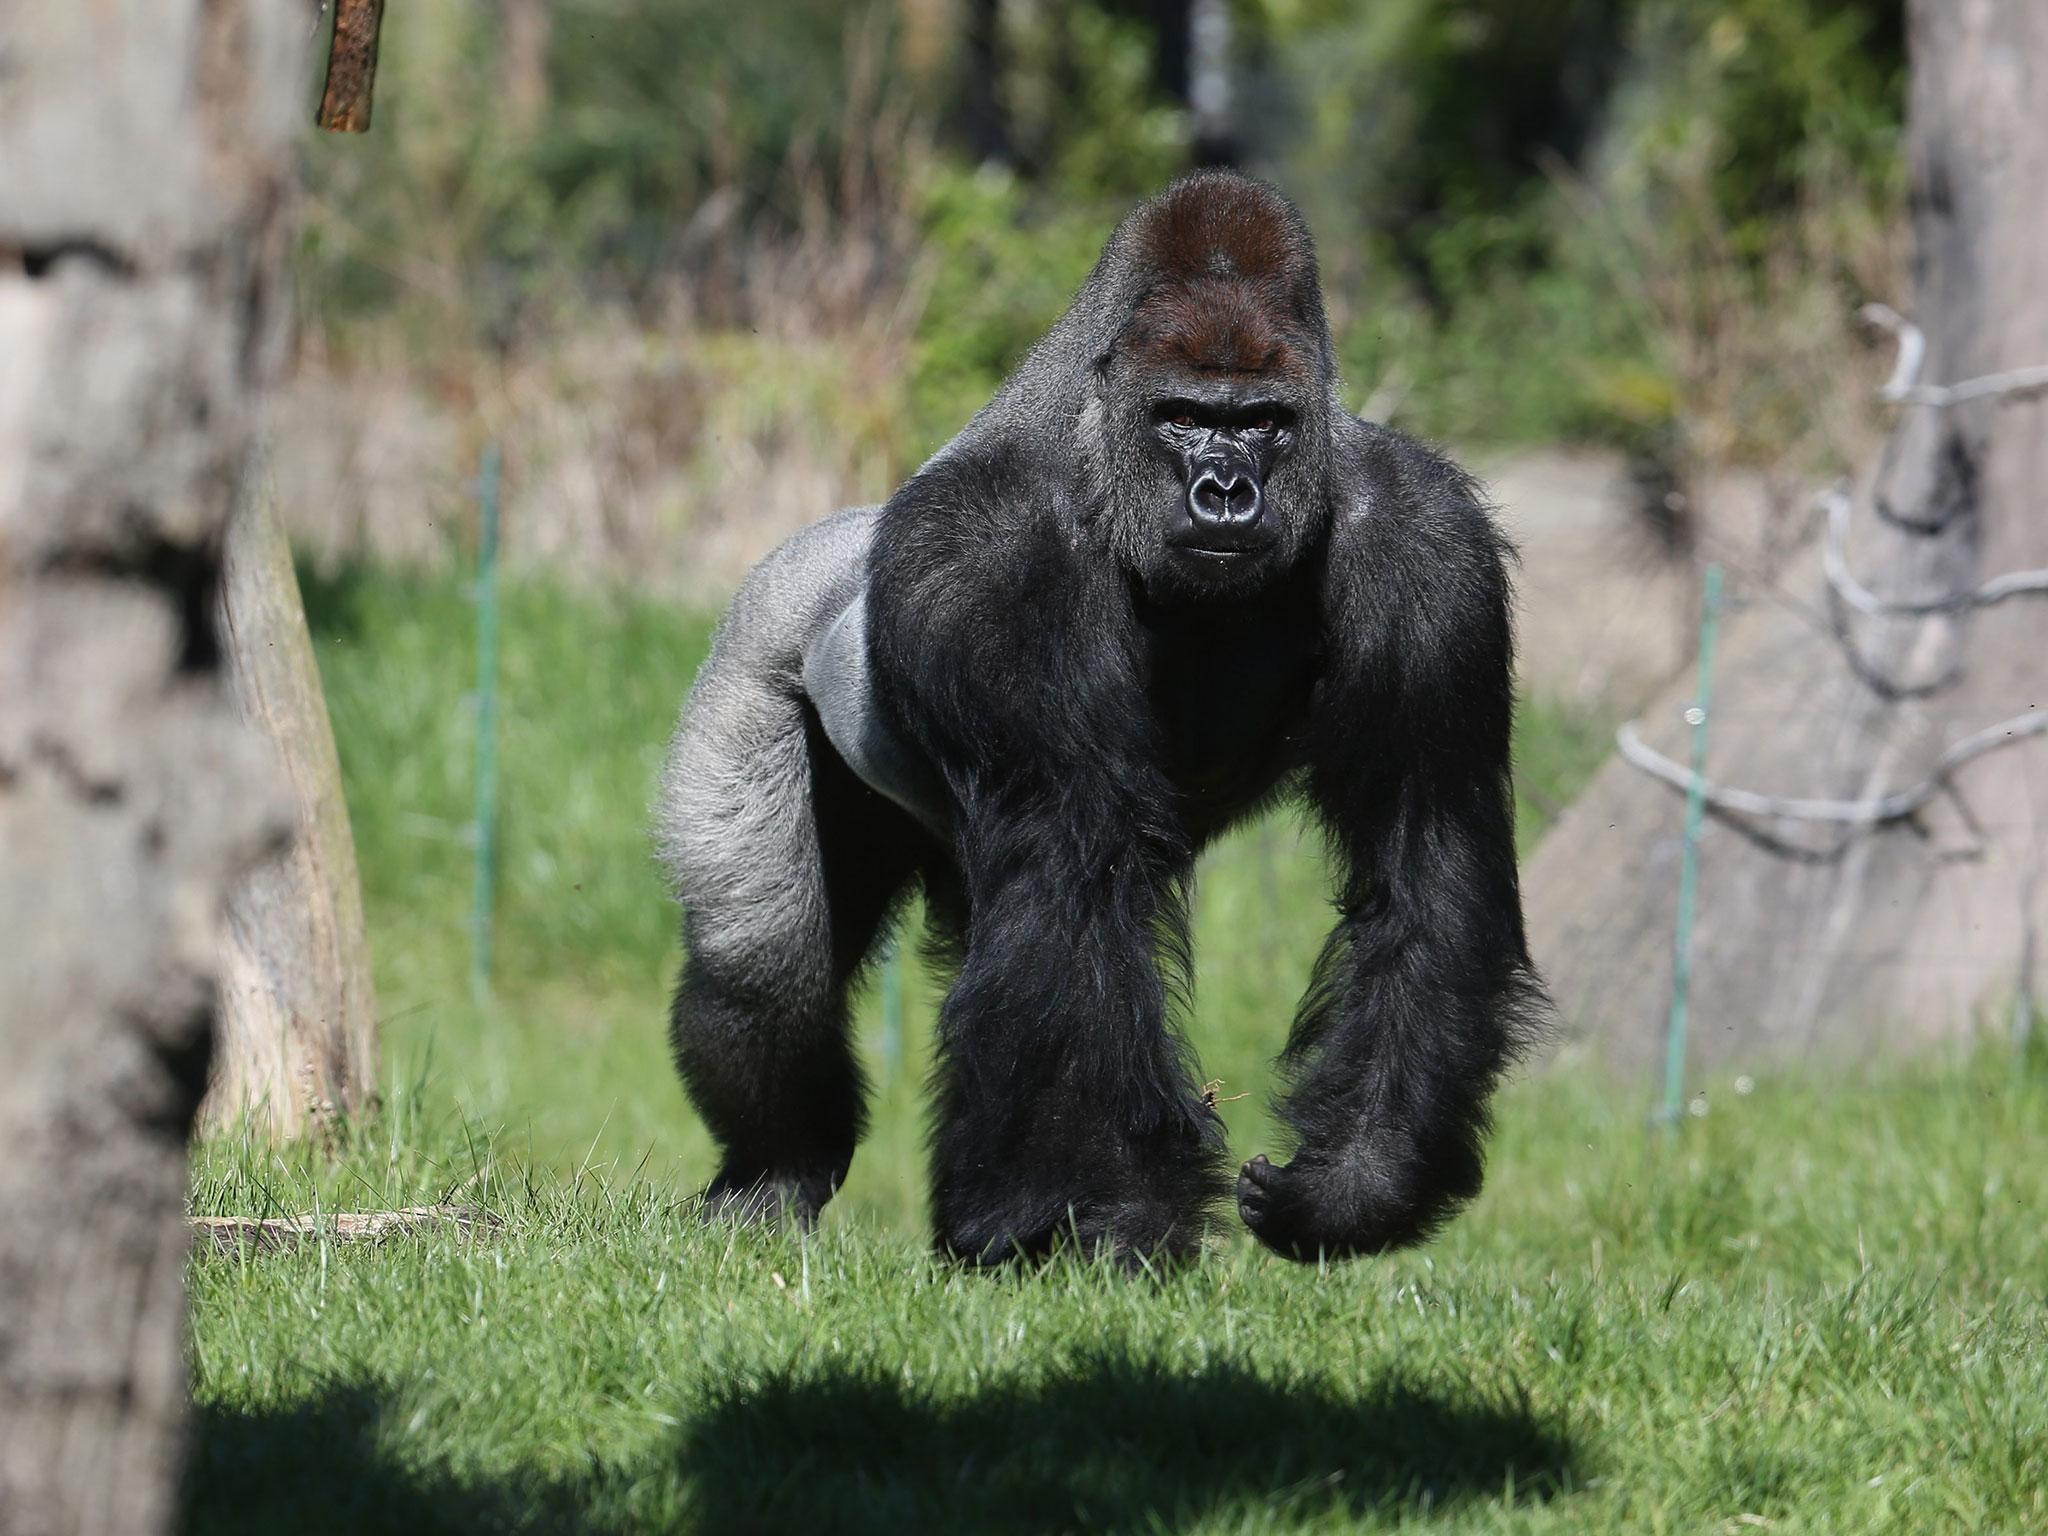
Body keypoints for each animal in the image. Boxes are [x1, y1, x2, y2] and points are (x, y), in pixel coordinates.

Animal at [655, 174, 1540, 1269]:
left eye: (1263, 424)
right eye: (1181, 416)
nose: (1224, 492)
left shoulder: (1430, 548)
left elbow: (1424, 851)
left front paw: (1359, 1180)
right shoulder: (986, 555)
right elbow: (1073, 867)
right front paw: (1097, 1213)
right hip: (760, 638)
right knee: (759, 968)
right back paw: (776, 1165)